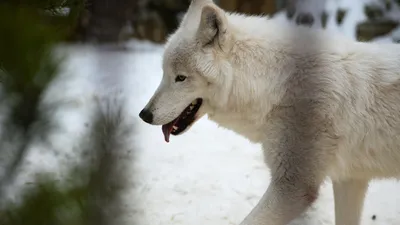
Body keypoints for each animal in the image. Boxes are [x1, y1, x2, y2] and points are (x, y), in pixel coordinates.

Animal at [140, 0, 400, 224]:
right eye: (164, 74)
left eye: (180, 78)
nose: (144, 115)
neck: (276, 84)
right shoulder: (349, 180)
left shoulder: (293, 188)